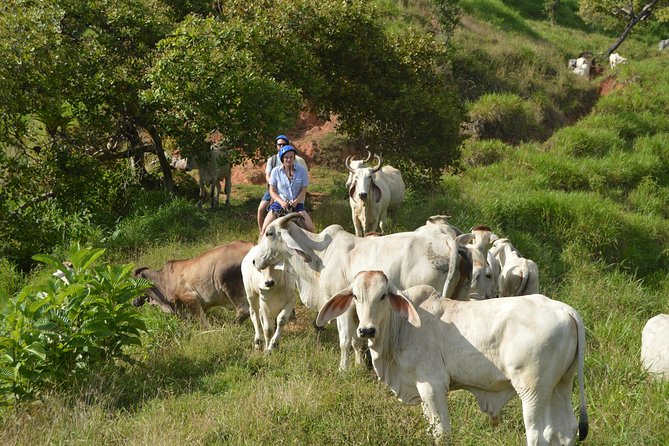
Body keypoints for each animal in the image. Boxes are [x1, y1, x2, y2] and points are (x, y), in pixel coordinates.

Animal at [250, 213, 496, 370]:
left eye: (269, 233)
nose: (255, 261)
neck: (321, 256)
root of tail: (448, 242)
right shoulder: (356, 309)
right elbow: (357, 341)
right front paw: (360, 364)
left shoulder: (341, 307)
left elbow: (345, 340)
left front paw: (343, 369)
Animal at [316, 270, 588, 444]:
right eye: (355, 296)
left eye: (383, 296)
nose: (366, 330)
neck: (402, 327)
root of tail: (564, 309)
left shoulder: (432, 386)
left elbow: (442, 433)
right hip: (560, 385)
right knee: (565, 430)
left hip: (533, 389)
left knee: (539, 434)